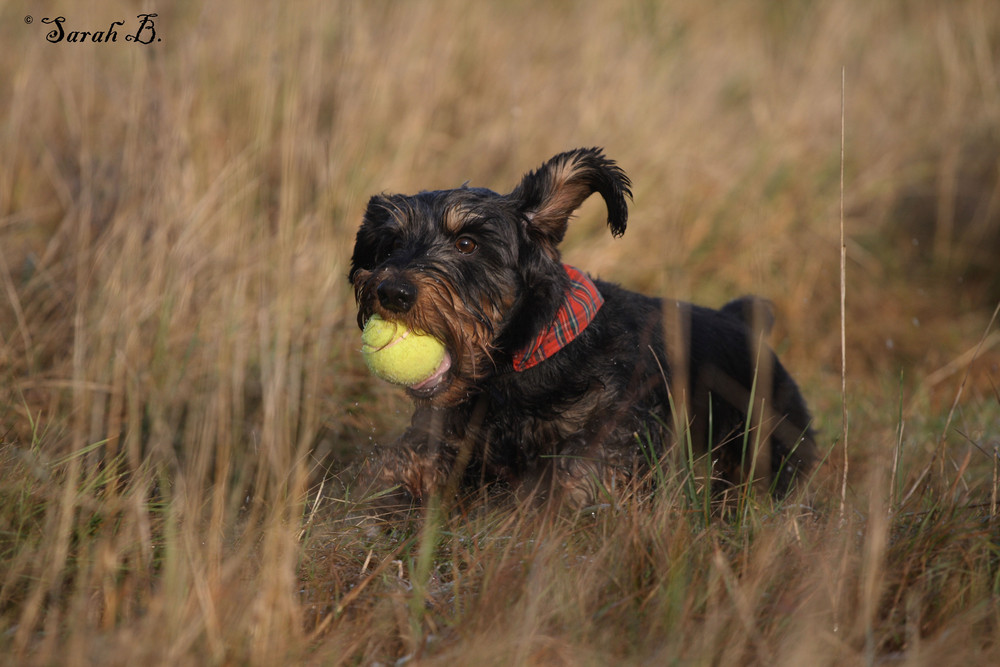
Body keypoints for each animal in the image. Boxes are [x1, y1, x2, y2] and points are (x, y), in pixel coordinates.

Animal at [348, 147, 816, 516]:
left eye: (467, 243)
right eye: (390, 244)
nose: (391, 291)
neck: (523, 365)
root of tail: (740, 320)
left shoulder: (597, 466)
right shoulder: (433, 445)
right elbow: (386, 479)